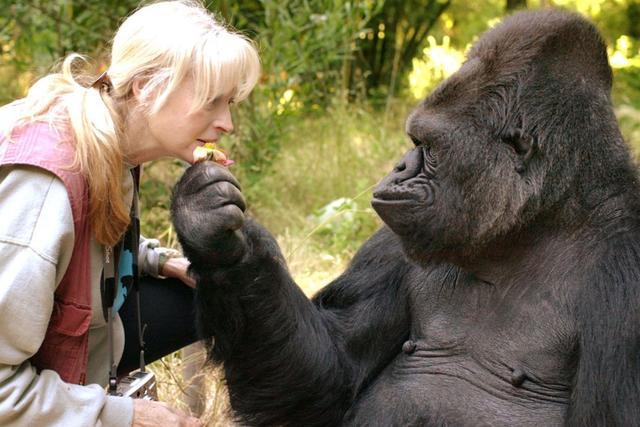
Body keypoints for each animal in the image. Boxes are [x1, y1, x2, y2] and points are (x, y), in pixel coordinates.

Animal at [170, 9, 640, 427]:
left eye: (427, 147)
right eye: (414, 141)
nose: (398, 167)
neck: (538, 223)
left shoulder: (626, 272)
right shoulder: (394, 241)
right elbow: (328, 374)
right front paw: (215, 237)